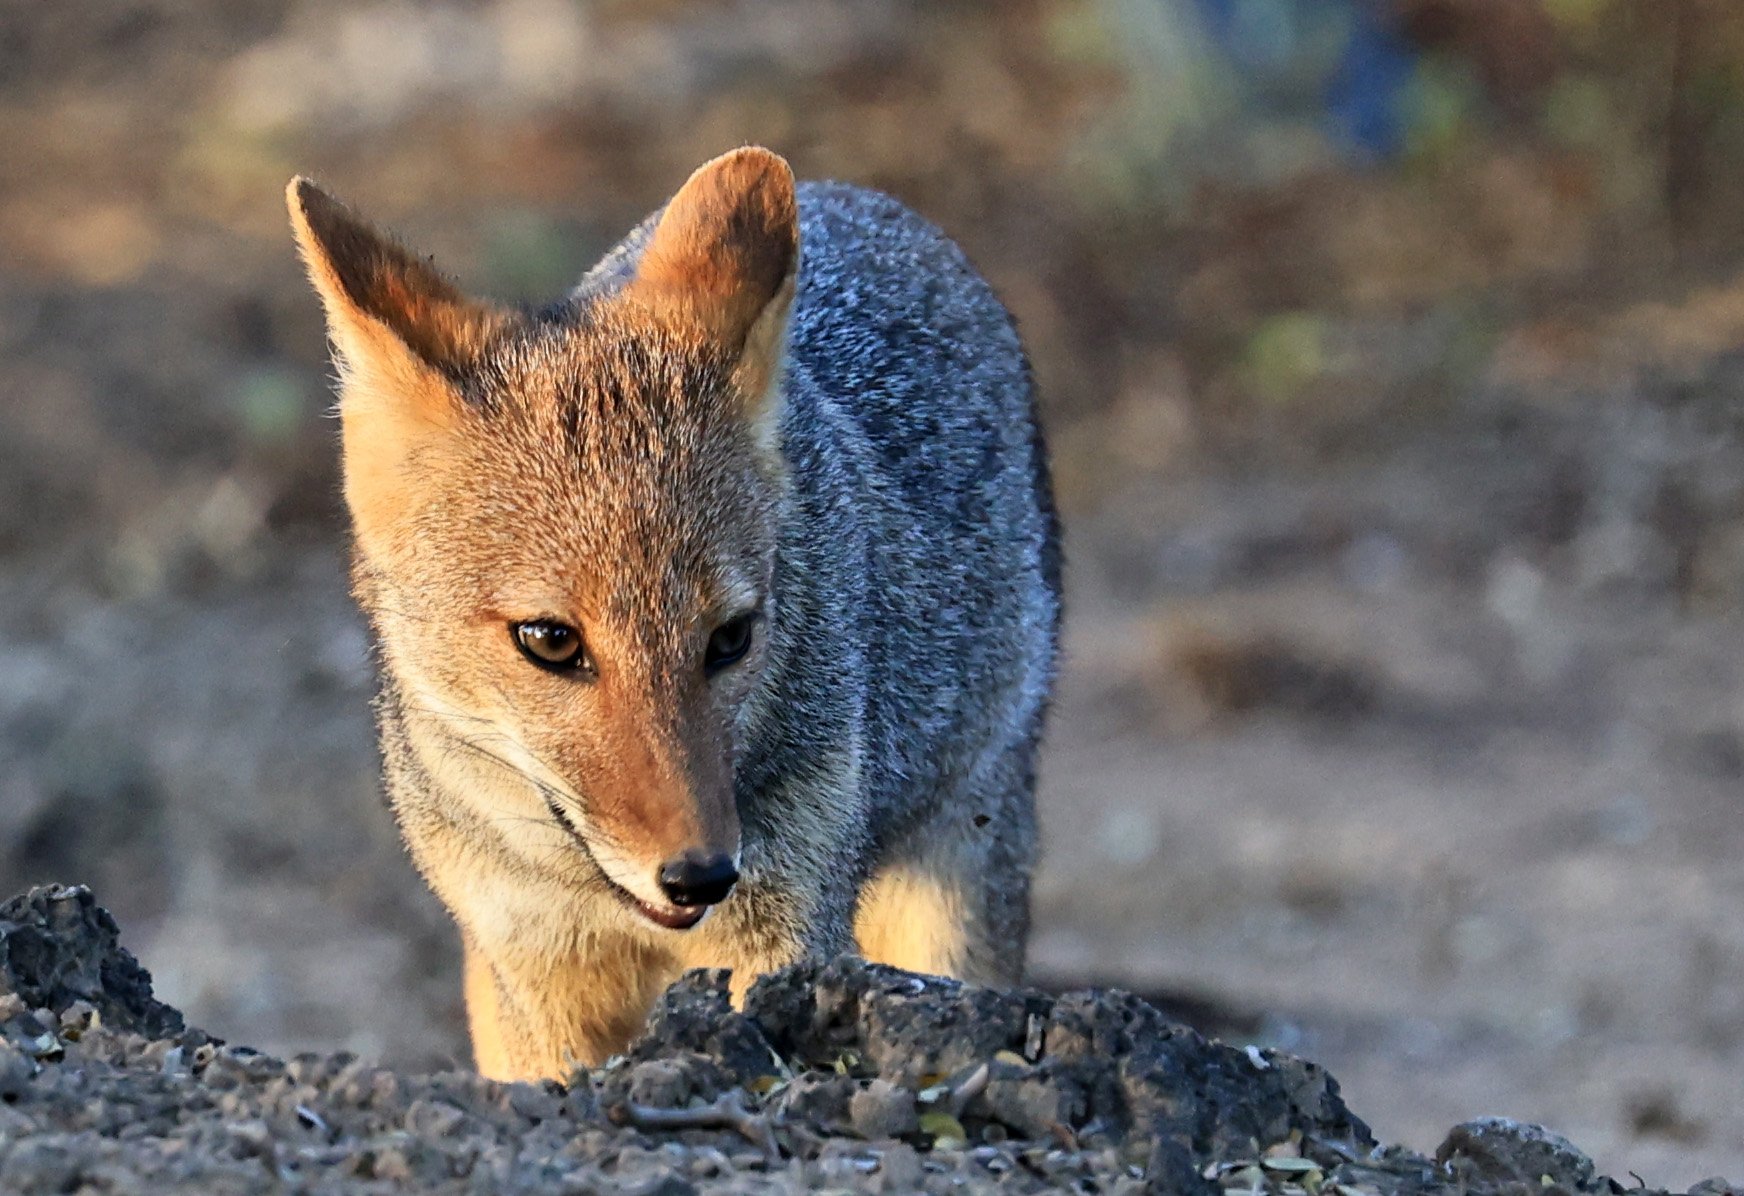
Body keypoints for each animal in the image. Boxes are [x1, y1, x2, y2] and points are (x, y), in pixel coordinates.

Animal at [286, 147, 1060, 1082]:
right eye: (550, 642)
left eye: (730, 639)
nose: (699, 876)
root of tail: (861, 197)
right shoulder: (532, 973)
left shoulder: (786, 940)